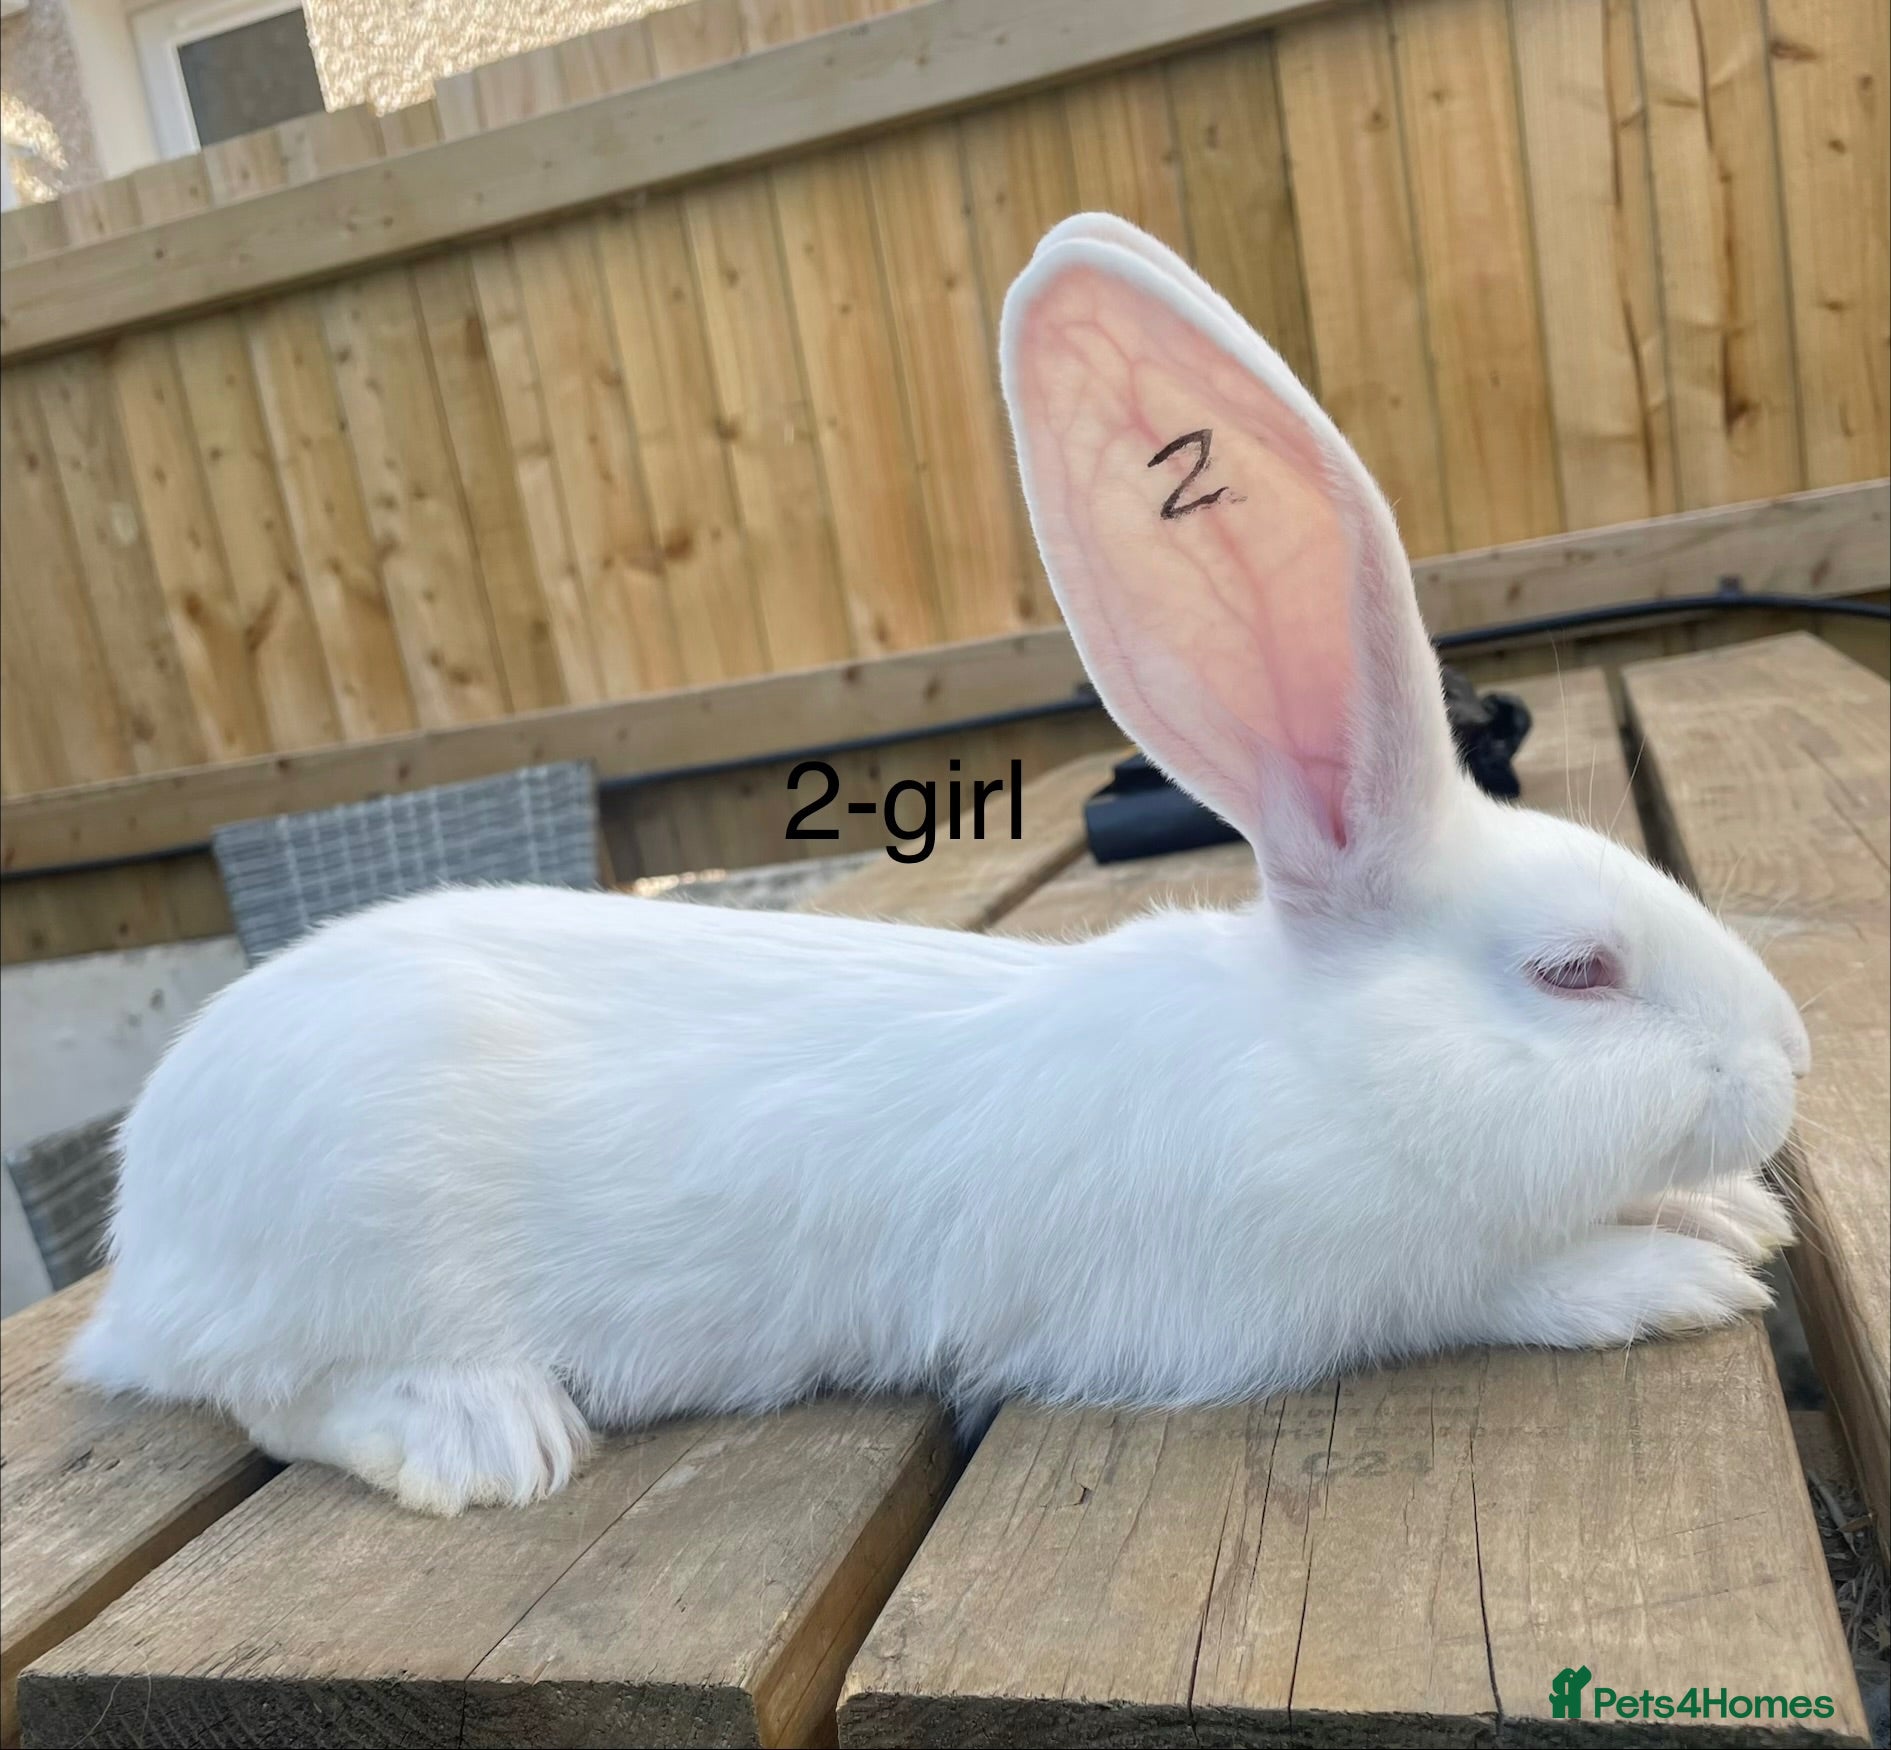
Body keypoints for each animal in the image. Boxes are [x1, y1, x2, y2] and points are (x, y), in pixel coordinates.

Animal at [69, 214, 1807, 1515]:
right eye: (1571, 971)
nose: (1786, 1061)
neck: (1322, 1061)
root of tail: (146, 1222)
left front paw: (1730, 1211)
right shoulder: (1306, 1286)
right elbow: (1495, 1284)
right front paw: (1667, 1272)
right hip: (340, 1248)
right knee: (275, 1399)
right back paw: (483, 1434)